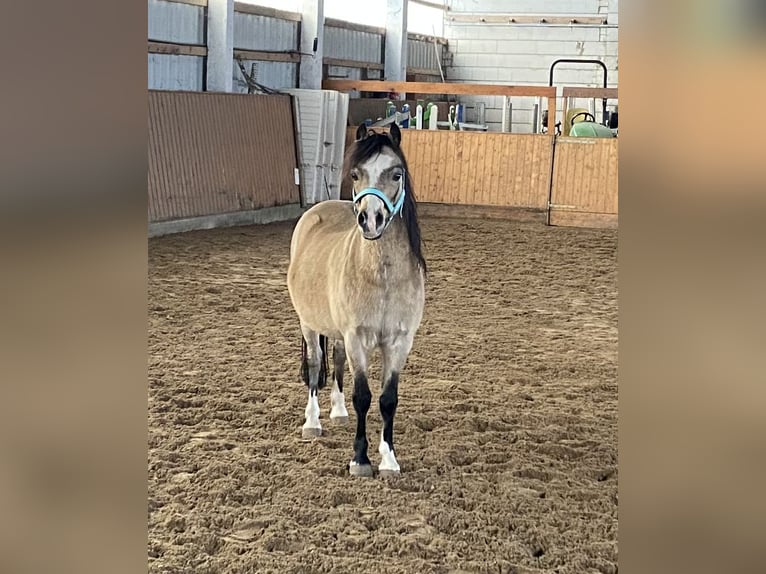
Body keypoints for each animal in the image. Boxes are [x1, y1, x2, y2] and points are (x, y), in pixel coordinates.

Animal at [287, 123, 426, 477]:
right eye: (355, 174)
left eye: (396, 174)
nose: (370, 218)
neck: (383, 277)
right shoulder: (357, 339)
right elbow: (363, 396)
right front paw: (360, 459)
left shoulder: (399, 342)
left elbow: (388, 399)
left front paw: (389, 460)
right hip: (309, 325)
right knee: (314, 366)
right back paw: (313, 423)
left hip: (336, 333)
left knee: (335, 360)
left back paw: (337, 412)